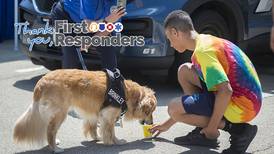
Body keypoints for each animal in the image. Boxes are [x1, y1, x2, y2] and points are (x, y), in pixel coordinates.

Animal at [12, 69, 157, 153]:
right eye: (150, 112)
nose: (151, 122)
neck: (125, 92)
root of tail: (41, 82)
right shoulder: (108, 116)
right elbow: (111, 131)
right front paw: (115, 142)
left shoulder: (97, 114)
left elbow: (94, 127)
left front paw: (97, 137)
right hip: (60, 113)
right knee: (50, 131)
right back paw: (56, 148)